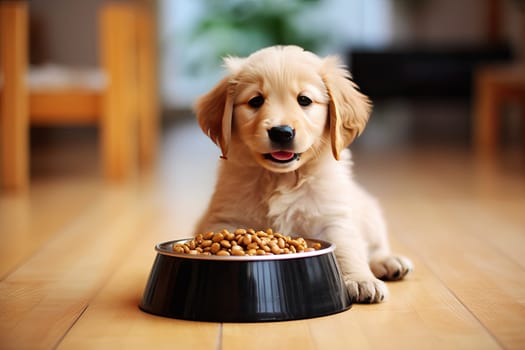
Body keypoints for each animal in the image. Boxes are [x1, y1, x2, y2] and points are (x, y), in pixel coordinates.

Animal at [192, 45, 410, 304]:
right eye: (256, 101)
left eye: (304, 100)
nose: (281, 132)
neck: (281, 178)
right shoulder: (225, 218)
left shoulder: (332, 217)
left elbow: (347, 248)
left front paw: (360, 279)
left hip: (369, 212)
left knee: (374, 246)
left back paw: (389, 262)